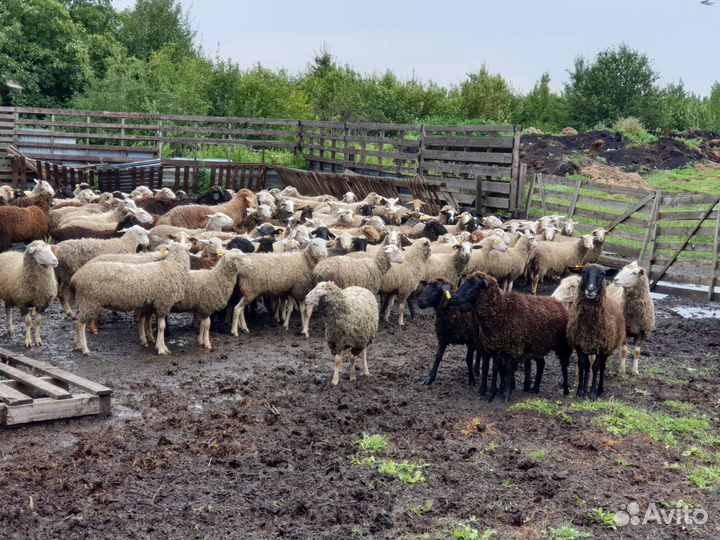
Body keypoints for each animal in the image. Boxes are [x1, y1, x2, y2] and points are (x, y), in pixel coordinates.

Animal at [451, 272, 572, 402]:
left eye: (474, 284)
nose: (454, 297)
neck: (501, 310)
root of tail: (558, 303)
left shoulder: (512, 348)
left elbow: (508, 369)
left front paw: (506, 394)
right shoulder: (494, 347)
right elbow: (494, 369)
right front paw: (491, 393)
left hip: (563, 346)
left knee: (564, 367)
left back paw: (566, 391)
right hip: (538, 346)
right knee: (541, 364)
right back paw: (535, 389)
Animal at [566, 264, 625, 399]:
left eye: (602, 274)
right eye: (583, 272)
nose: (590, 290)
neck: (589, 325)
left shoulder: (602, 347)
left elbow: (596, 367)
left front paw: (592, 393)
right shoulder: (579, 345)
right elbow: (583, 365)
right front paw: (581, 391)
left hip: (608, 348)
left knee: (602, 367)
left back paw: (600, 389)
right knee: (588, 366)